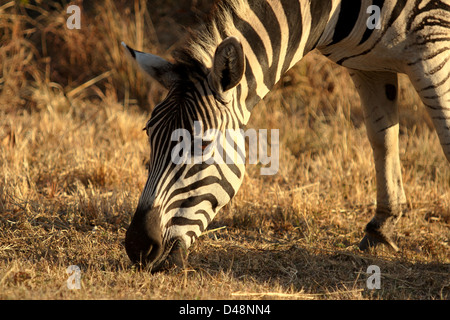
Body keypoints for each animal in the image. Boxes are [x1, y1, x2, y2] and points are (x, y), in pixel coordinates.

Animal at [121, 0, 448, 272]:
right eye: (148, 132)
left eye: (203, 144)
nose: (137, 246)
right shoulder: (367, 65)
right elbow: (382, 138)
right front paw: (381, 228)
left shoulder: (433, 43)